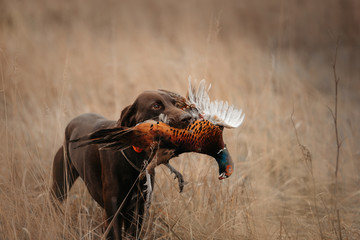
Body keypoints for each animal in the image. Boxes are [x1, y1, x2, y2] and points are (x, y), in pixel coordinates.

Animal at [51, 90, 191, 240]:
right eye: (156, 106)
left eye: (176, 104)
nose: (187, 118)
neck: (136, 158)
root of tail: (72, 123)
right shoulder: (113, 212)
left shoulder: (138, 210)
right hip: (60, 187)